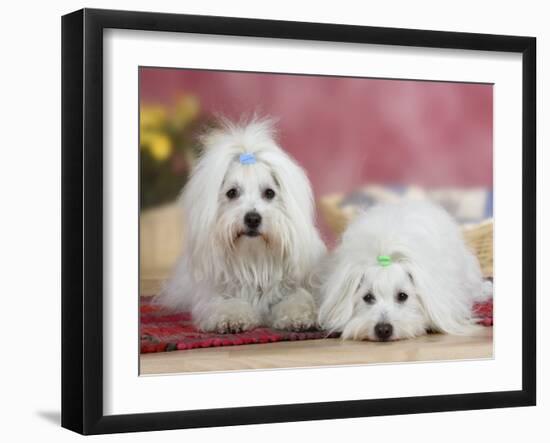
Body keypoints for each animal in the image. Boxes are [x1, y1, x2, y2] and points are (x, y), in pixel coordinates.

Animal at [157, 118, 326, 332]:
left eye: (269, 193)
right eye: (232, 193)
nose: (253, 218)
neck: (254, 260)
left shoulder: (294, 287)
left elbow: (297, 299)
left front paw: (299, 317)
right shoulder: (215, 295)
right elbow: (227, 304)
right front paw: (233, 318)